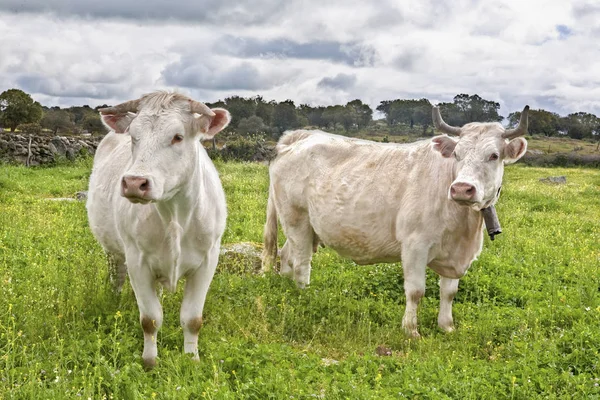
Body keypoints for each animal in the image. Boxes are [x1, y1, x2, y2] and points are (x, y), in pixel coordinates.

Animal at [86, 91, 230, 368]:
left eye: (177, 137)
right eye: (133, 136)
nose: (134, 182)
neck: (175, 215)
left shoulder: (208, 261)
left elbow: (193, 319)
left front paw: (192, 359)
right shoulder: (137, 261)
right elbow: (150, 319)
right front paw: (150, 362)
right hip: (114, 251)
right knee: (117, 276)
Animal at [264, 105, 528, 338]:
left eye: (494, 155)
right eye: (457, 154)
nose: (462, 188)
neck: (463, 227)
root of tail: (301, 136)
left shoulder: (456, 254)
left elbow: (449, 292)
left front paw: (446, 326)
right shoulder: (414, 246)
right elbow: (416, 291)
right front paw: (411, 330)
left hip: (306, 227)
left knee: (286, 256)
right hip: (295, 219)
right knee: (301, 263)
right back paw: (305, 297)